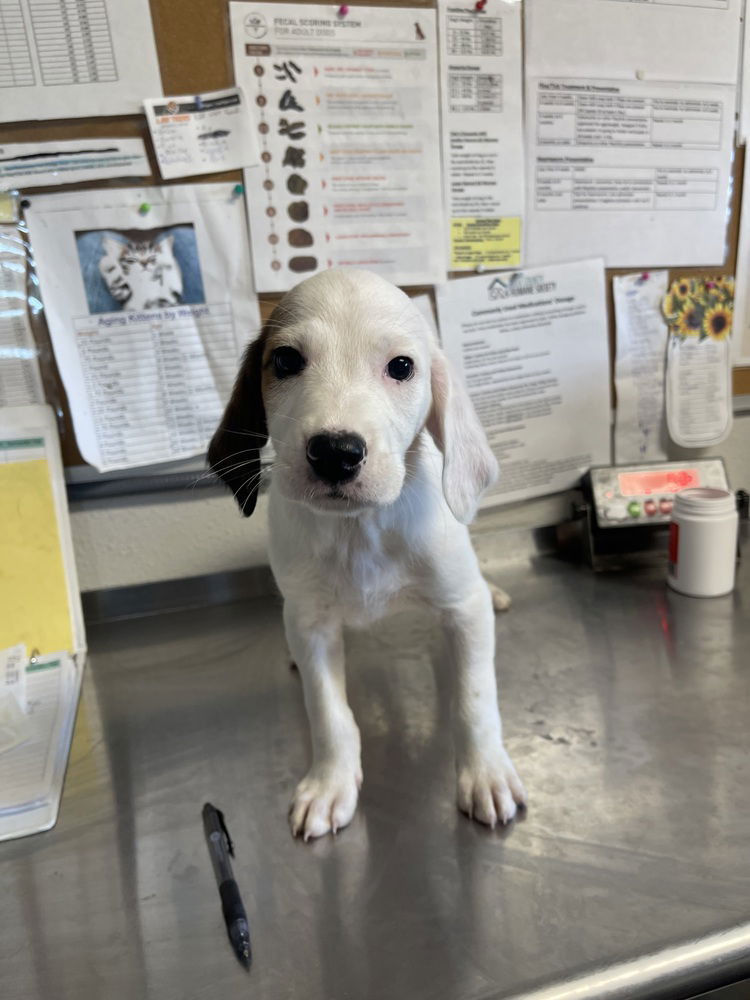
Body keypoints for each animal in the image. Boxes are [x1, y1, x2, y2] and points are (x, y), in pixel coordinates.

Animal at [210, 270, 528, 840]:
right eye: (285, 360)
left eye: (401, 367)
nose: (336, 452)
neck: (359, 530)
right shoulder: (311, 625)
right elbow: (328, 712)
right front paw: (330, 782)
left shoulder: (462, 609)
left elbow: (474, 700)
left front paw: (486, 773)